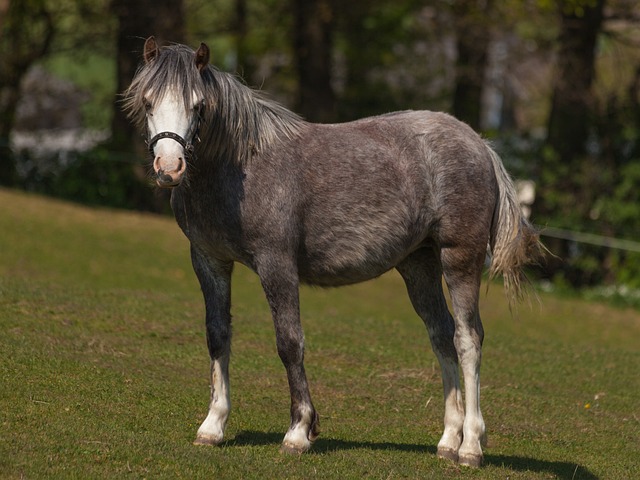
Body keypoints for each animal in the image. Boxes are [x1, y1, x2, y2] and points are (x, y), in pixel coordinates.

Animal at [121, 37, 540, 468]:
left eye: (198, 105)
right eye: (148, 101)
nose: (169, 168)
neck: (241, 167)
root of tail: (480, 144)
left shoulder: (276, 264)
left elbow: (289, 342)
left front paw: (299, 431)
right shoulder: (209, 261)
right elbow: (218, 335)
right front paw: (213, 425)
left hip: (461, 260)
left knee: (467, 339)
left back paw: (471, 445)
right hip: (418, 266)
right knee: (442, 337)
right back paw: (448, 441)